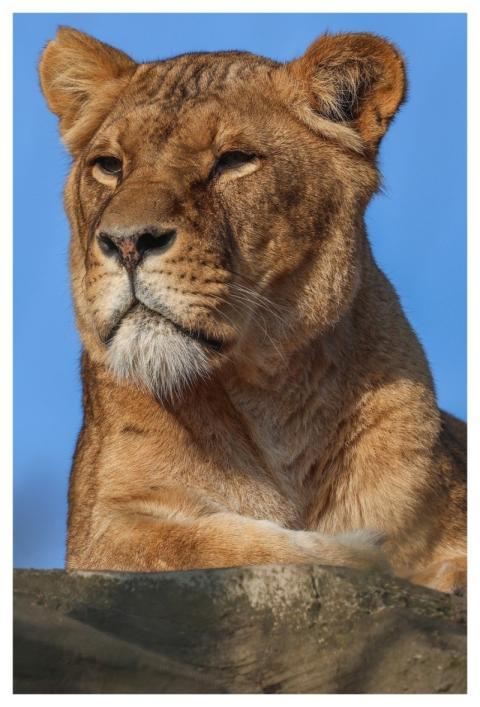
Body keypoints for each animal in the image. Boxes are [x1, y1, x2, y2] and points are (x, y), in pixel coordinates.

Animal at [39, 27, 466, 592]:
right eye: (109, 166)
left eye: (233, 161)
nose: (126, 243)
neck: (273, 398)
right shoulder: (102, 529)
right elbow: (210, 544)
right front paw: (363, 552)